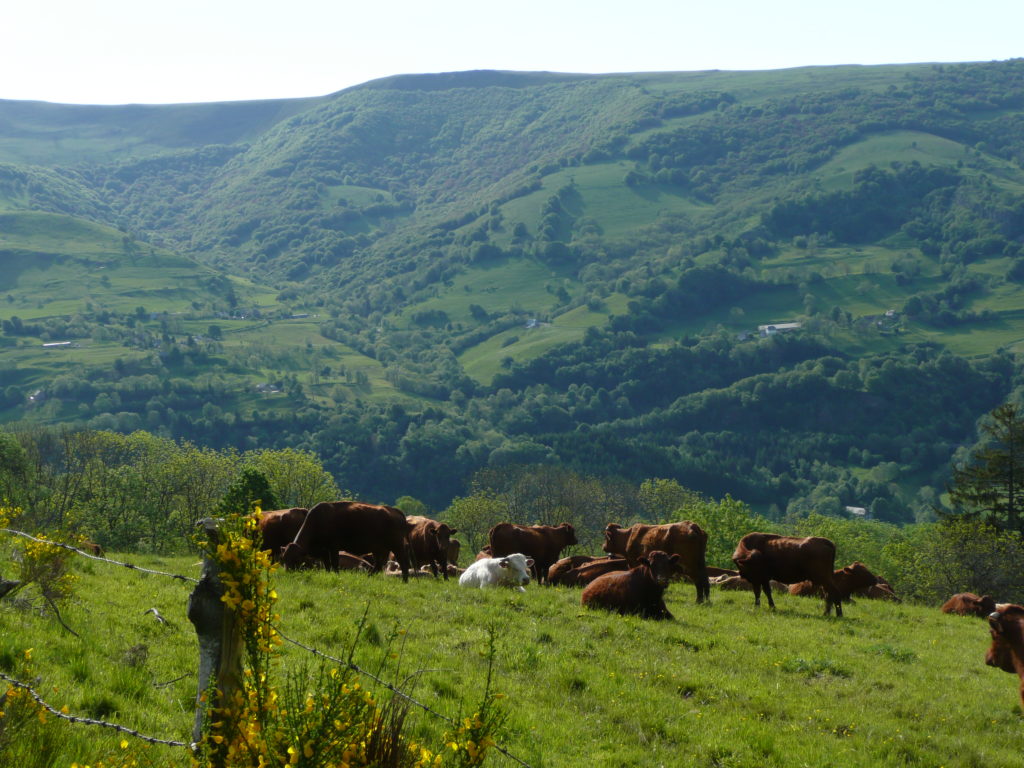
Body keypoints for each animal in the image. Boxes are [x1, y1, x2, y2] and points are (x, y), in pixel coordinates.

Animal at [280, 501, 411, 581]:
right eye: (284, 558)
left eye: (295, 559)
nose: (287, 572)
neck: (317, 521)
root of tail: (396, 511)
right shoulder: (324, 551)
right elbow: (327, 564)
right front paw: (329, 574)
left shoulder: (333, 547)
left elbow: (334, 563)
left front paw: (336, 575)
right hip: (379, 549)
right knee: (379, 564)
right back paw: (368, 577)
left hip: (396, 546)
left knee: (402, 563)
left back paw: (404, 581)